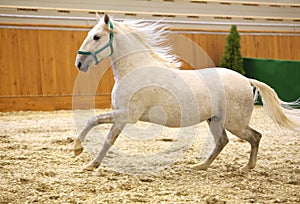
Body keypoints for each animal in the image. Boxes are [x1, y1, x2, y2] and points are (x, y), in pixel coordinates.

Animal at [73, 13, 300, 172]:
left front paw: (83, 156)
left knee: (255, 137)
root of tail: (246, 80)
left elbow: (99, 128)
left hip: (235, 123)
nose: (79, 64)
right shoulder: (121, 115)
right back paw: (201, 166)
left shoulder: (126, 115)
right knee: (223, 141)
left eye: (96, 36)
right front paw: (84, 157)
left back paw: (246, 168)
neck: (136, 69)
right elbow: (100, 130)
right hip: (215, 120)